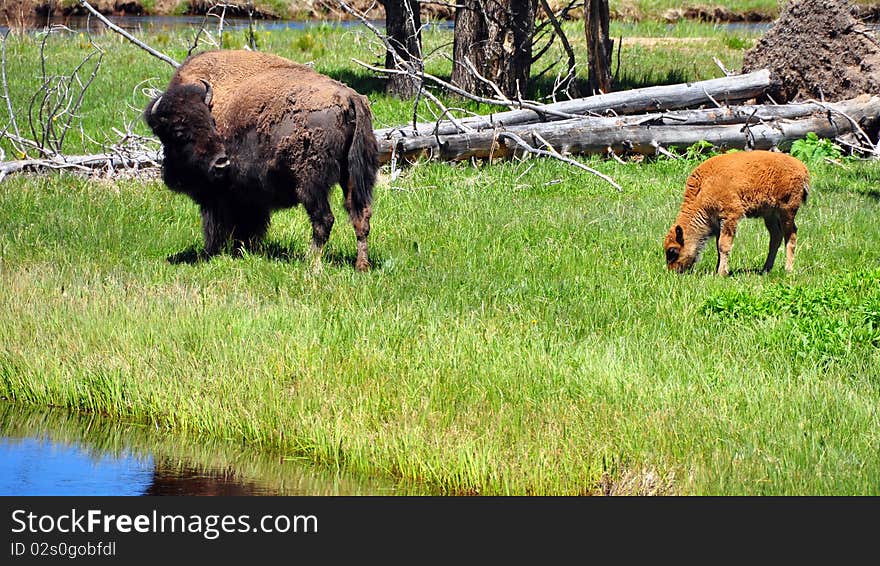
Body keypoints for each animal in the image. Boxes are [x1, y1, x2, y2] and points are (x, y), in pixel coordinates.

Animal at [144, 50, 378, 272]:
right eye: (179, 131)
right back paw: (361, 266)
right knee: (361, 216)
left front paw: (212, 253)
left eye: (210, 123)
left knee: (324, 220)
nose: (220, 163)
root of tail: (350, 98)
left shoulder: (219, 195)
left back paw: (311, 264)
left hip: (311, 183)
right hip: (352, 175)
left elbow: (219, 226)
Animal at [664, 150, 808, 276]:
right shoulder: (718, 223)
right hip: (770, 215)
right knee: (776, 237)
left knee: (791, 235)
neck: (703, 188)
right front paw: (718, 269)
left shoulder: (729, 217)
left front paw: (721, 273)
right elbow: (718, 246)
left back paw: (788, 270)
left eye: (672, 250)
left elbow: (723, 245)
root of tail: (802, 168)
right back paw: (766, 270)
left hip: (787, 211)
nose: (673, 272)